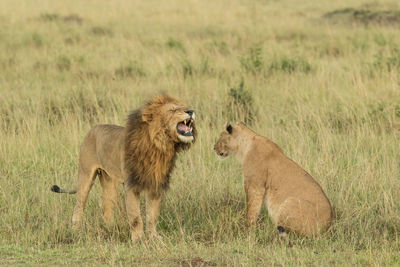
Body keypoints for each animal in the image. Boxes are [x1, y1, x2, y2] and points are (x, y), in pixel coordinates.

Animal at [50, 95, 198, 242]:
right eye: (173, 109)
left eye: (184, 107)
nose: (190, 111)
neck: (159, 145)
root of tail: (92, 128)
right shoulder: (131, 185)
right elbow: (135, 217)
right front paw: (138, 240)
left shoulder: (155, 185)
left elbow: (152, 215)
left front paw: (154, 237)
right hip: (85, 175)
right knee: (79, 205)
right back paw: (76, 232)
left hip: (109, 181)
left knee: (107, 208)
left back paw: (110, 229)